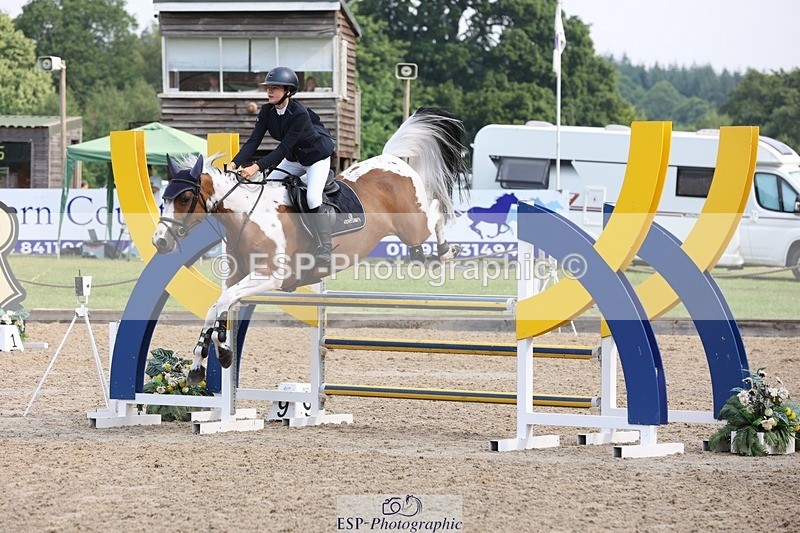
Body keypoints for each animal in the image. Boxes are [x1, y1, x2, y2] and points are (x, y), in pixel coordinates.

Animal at [152, 107, 470, 384]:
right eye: (163, 199)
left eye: (184, 198)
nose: (160, 241)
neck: (247, 214)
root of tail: (392, 159)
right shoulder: (236, 277)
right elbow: (218, 306)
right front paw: (208, 360)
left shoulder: (269, 277)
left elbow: (221, 304)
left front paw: (215, 356)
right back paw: (426, 256)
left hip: (414, 224)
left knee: (438, 210)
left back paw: (446, 253)